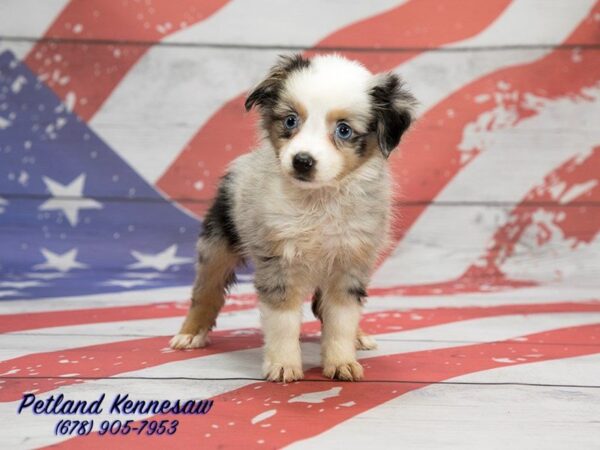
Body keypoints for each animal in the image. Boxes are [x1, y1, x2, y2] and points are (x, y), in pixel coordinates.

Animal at [168, 54, 412, 382]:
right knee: (206, 290)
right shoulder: (278, 261)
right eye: (290, 121)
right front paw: (283, 365)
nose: (302, 161)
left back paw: (359, 336)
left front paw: (342, 362)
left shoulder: (350, 262)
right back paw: (190, 333)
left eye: (344, 130)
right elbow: (282, 322)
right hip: (216, 242)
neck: (319, 200)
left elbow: (341, 318)